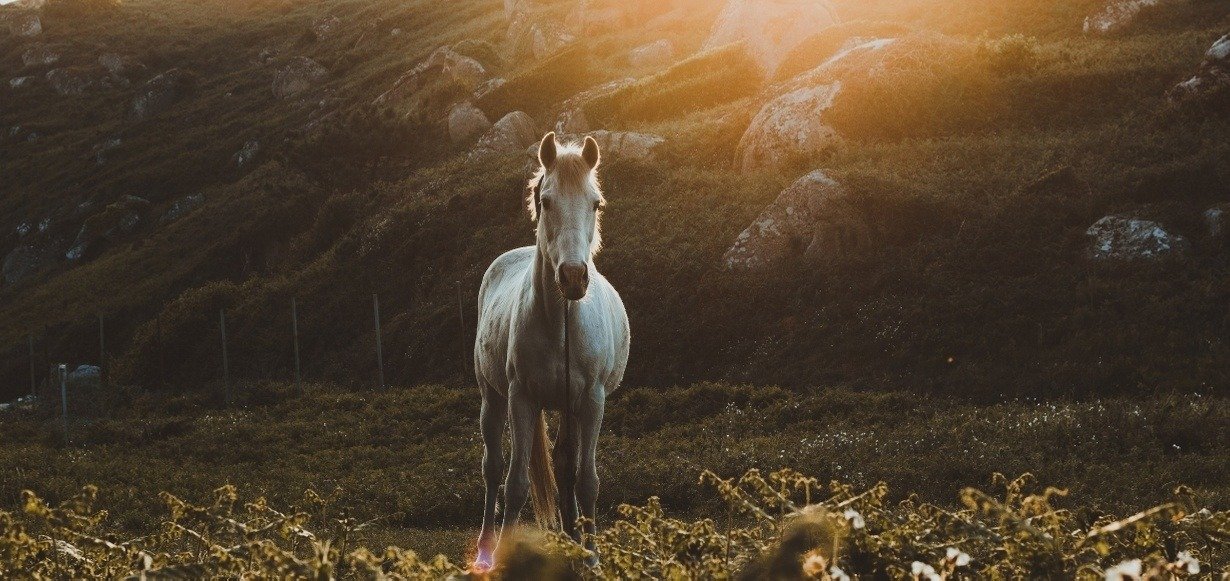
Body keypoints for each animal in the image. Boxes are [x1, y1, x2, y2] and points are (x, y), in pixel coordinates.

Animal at [473, 132, 631, 570]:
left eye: (596, 203)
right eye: (546, 201)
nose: (574, 277)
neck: (561, 324)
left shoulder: (591, 401)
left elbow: (586, 481)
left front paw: (591, 559)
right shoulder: (521, 399)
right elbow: (515, 483)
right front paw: (504, 558)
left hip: (568, 407)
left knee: (564, 467)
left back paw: (572, 541)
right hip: (492, 398)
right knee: (493, 469)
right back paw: (486, 549)